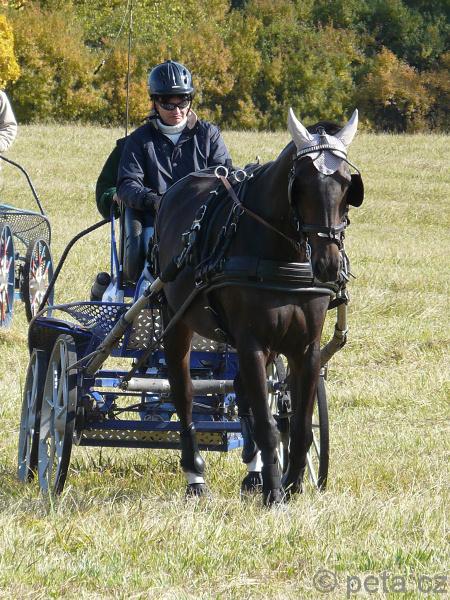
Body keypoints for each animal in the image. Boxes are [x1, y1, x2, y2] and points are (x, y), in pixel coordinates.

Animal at [155, 108, 364, 505]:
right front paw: (275, 493)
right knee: (183, 391)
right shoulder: (252, 343)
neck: (282, 253)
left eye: (348, 183)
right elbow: (268, 425)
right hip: (176, 322)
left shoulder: (305, 347)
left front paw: (294, 484)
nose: (329, 265)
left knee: (244, 392)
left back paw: (253, 470)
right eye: (302, 183)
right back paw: (196, 475)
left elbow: (298, 425)